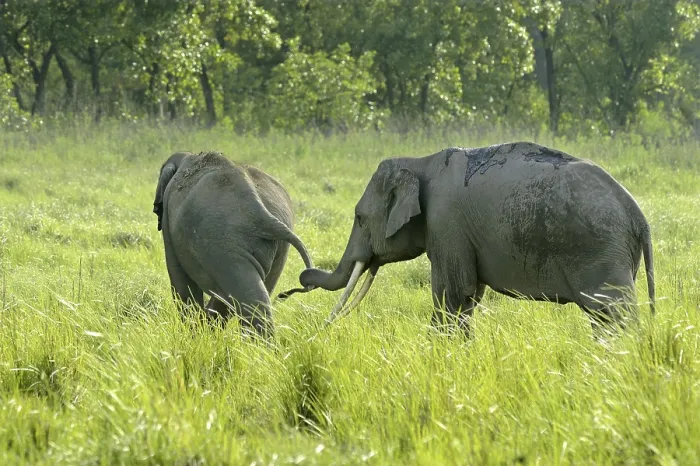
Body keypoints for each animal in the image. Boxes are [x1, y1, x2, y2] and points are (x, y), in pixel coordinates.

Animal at [153, 150, 314, 337]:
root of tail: (261, 214)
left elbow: (181, 282)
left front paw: (196, 336)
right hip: (274, 247)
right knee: (255, 294)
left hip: (222, 242)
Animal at [299, 141, 656, 334]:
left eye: (359, 218)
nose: (301, 279)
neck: (421, 161)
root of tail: (638, 216)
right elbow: (467, 298)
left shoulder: (447, 223)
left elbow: (453, 294)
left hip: (602, 253)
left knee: (612, 312)